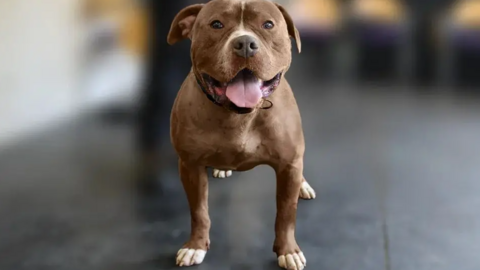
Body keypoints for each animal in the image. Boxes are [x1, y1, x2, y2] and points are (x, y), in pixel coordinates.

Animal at [168, 1, 316, 268]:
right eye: (216, 24)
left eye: (268, 24)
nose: (245, 43)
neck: (239, 115)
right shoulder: (190, 165)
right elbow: (199, 212)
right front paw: (195, 246)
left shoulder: (289, 164)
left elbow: (286, 213)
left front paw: (288, 251)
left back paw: (303, 185)